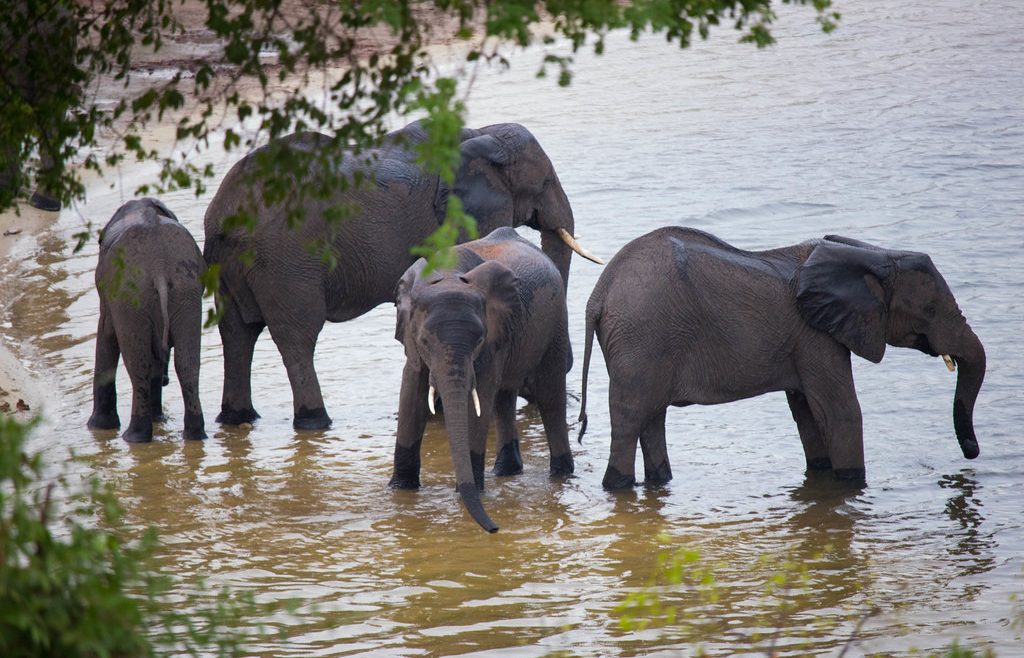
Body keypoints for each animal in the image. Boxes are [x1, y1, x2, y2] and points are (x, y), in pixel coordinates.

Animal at [87, 198, 207, 442]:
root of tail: (159, 266)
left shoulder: (109, 298)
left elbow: (105, 335)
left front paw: (98, 426)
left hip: (130, 297)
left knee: (138, 365)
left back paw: (134, 437)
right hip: (186, 289)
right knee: (187, 364)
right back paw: (194, 434)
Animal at [203, 120, 601, 430]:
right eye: (545, 182)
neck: (481, 135)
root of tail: (224, 213)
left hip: (229, 263)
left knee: (237, 331)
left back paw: (237, 418)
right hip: (286, 260)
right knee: (297, 336)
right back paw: (314, 421)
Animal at [390, 227, 575, 533]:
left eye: (478, 340)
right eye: (425, 341)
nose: (495, 528)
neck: (449, 274)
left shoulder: (492, 338)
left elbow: (480, 397)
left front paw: (468, 492)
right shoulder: (411, 340)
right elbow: (411, 391)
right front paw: (400, 490)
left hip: (556, 319)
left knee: (550, 396)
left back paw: (561, 475)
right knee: (504, 398)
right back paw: (505, 471)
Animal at [578, 227, 986, 489]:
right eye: (930, 309)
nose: (971, 453)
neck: (870, 254)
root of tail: (599, 292)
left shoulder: (807, 339)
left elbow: (807, 412)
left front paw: (823, 478)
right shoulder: (815, 336)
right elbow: (840, 412)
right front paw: (853, 483)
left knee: (651, 417)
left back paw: (659, 482)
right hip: (642, 339)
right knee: (631, 418)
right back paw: (617, 485)